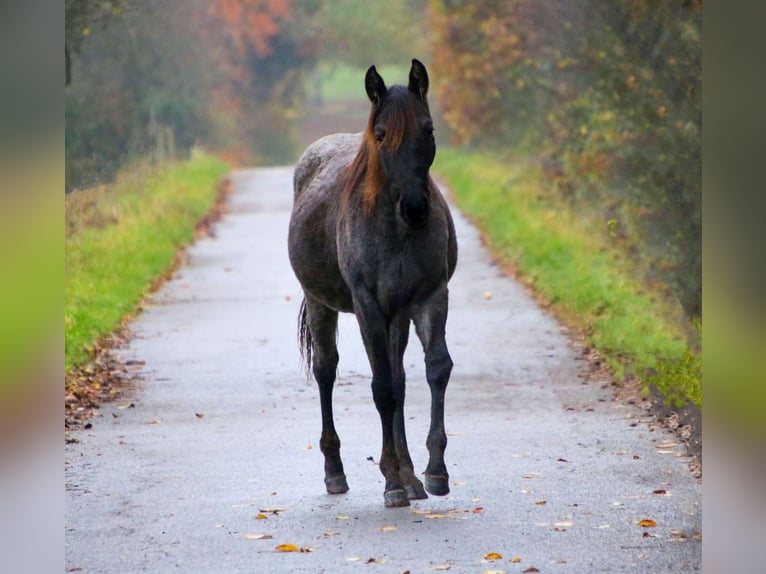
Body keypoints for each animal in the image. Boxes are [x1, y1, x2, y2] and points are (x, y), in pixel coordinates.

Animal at [287, 59, 458, 508]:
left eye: (428, 129)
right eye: (380, 135)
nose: (415, 208)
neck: (395, 229)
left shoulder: (430, 296)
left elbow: (435, 369)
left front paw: (433, 472)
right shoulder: (367, 304)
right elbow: (381, 388)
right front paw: (392, 483)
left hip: (396, 316)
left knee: (399, 379)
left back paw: (411, 476)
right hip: (322, 304)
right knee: (327, 370)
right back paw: (336, 472)